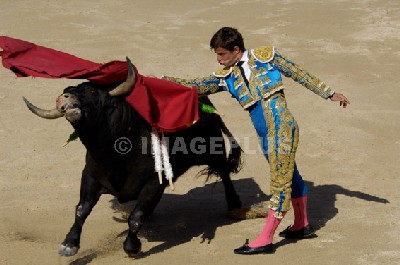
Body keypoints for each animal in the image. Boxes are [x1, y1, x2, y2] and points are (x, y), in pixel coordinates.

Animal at [24, 59, 244, 256]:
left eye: (92, 91)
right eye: (67, 89)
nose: (63, 98)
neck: (114, 154)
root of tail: (204, 101)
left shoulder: (153, 182)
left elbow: (135, 217)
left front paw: (132, 247)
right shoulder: (91, 176)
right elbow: (81, 209)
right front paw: (69, 244)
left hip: (214, 149)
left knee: (224, 173)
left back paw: (234, 205)